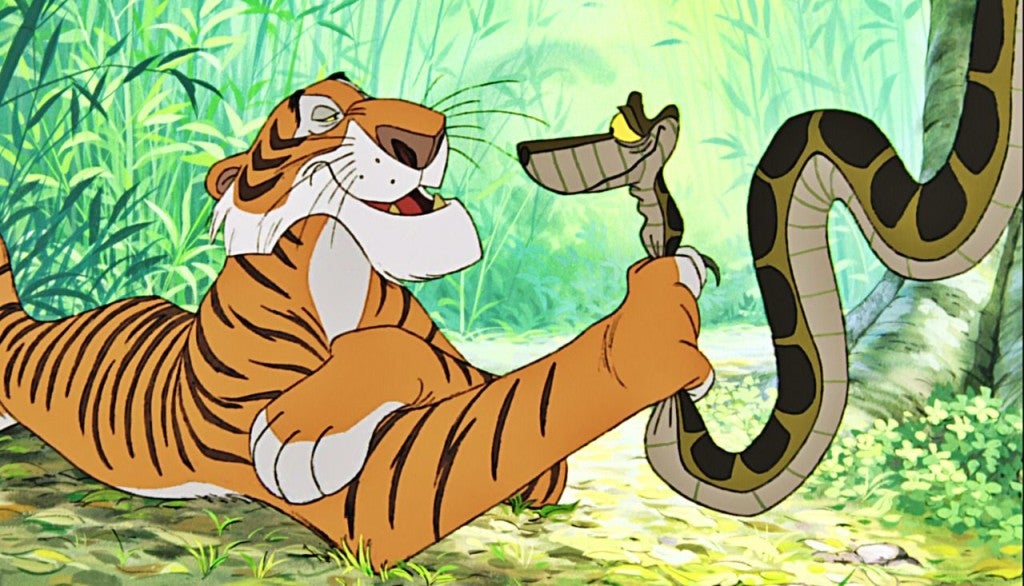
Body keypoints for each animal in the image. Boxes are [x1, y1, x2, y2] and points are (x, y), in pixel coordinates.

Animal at [0, 71, 716, 566]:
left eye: (366, 92)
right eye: (321, 113)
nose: (422, 132)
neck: (339, 253)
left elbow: (445, 367)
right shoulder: (375, 494)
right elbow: (474, 391)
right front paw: (653, 331)